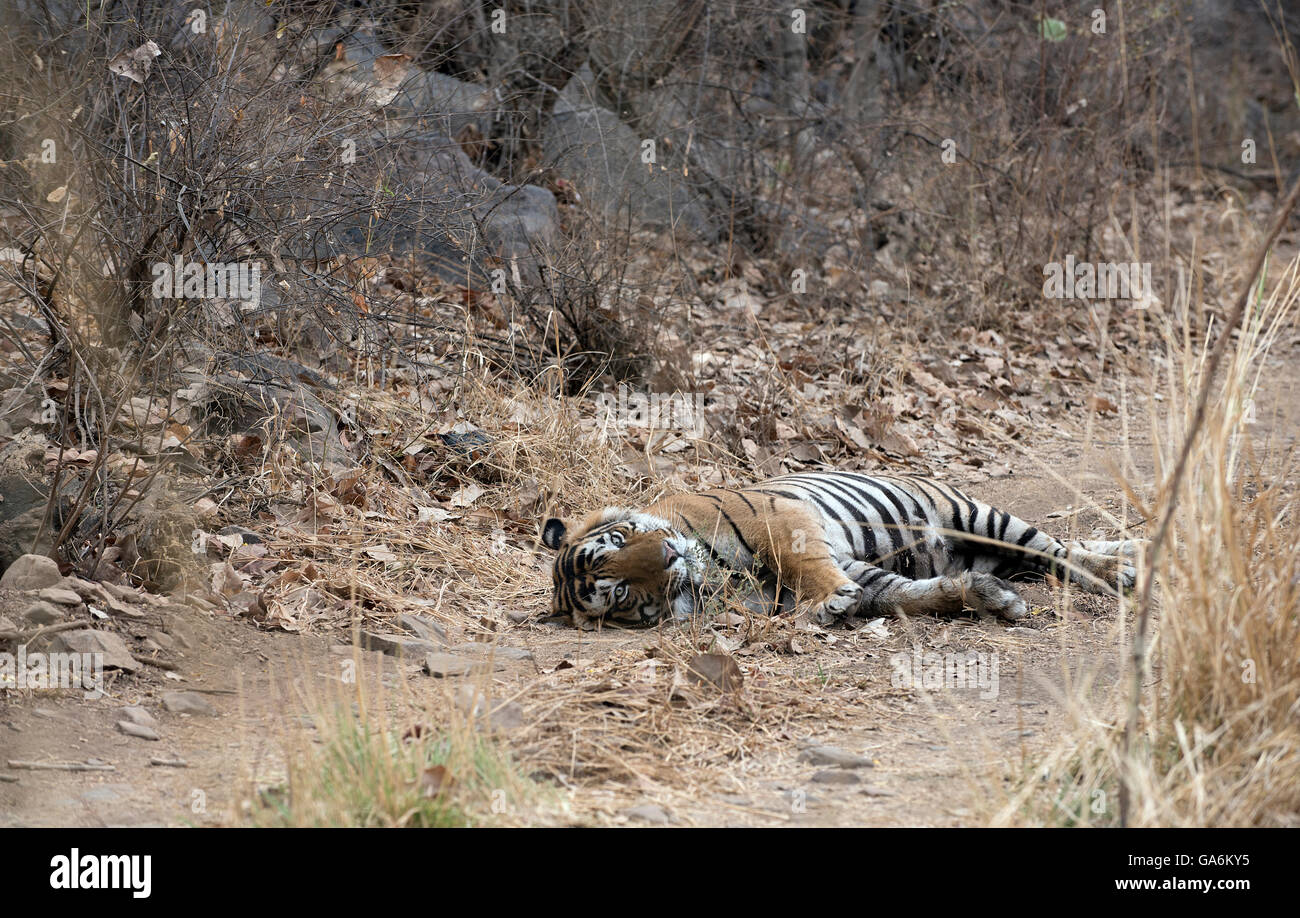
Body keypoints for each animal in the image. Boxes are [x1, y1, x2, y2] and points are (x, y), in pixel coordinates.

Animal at [538, 473, 1138, 629]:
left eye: (617, 542)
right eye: (619, 592)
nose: (667, 558)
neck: (713, 577)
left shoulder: (783, 519)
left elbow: (805, 566)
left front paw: (824, 606)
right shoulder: (862, 571)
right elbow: (909, 594)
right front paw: (988, 599)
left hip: (983, 519)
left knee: (1062, 552)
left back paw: (1123, 570)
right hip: (994, 547)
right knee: (1049, 556)